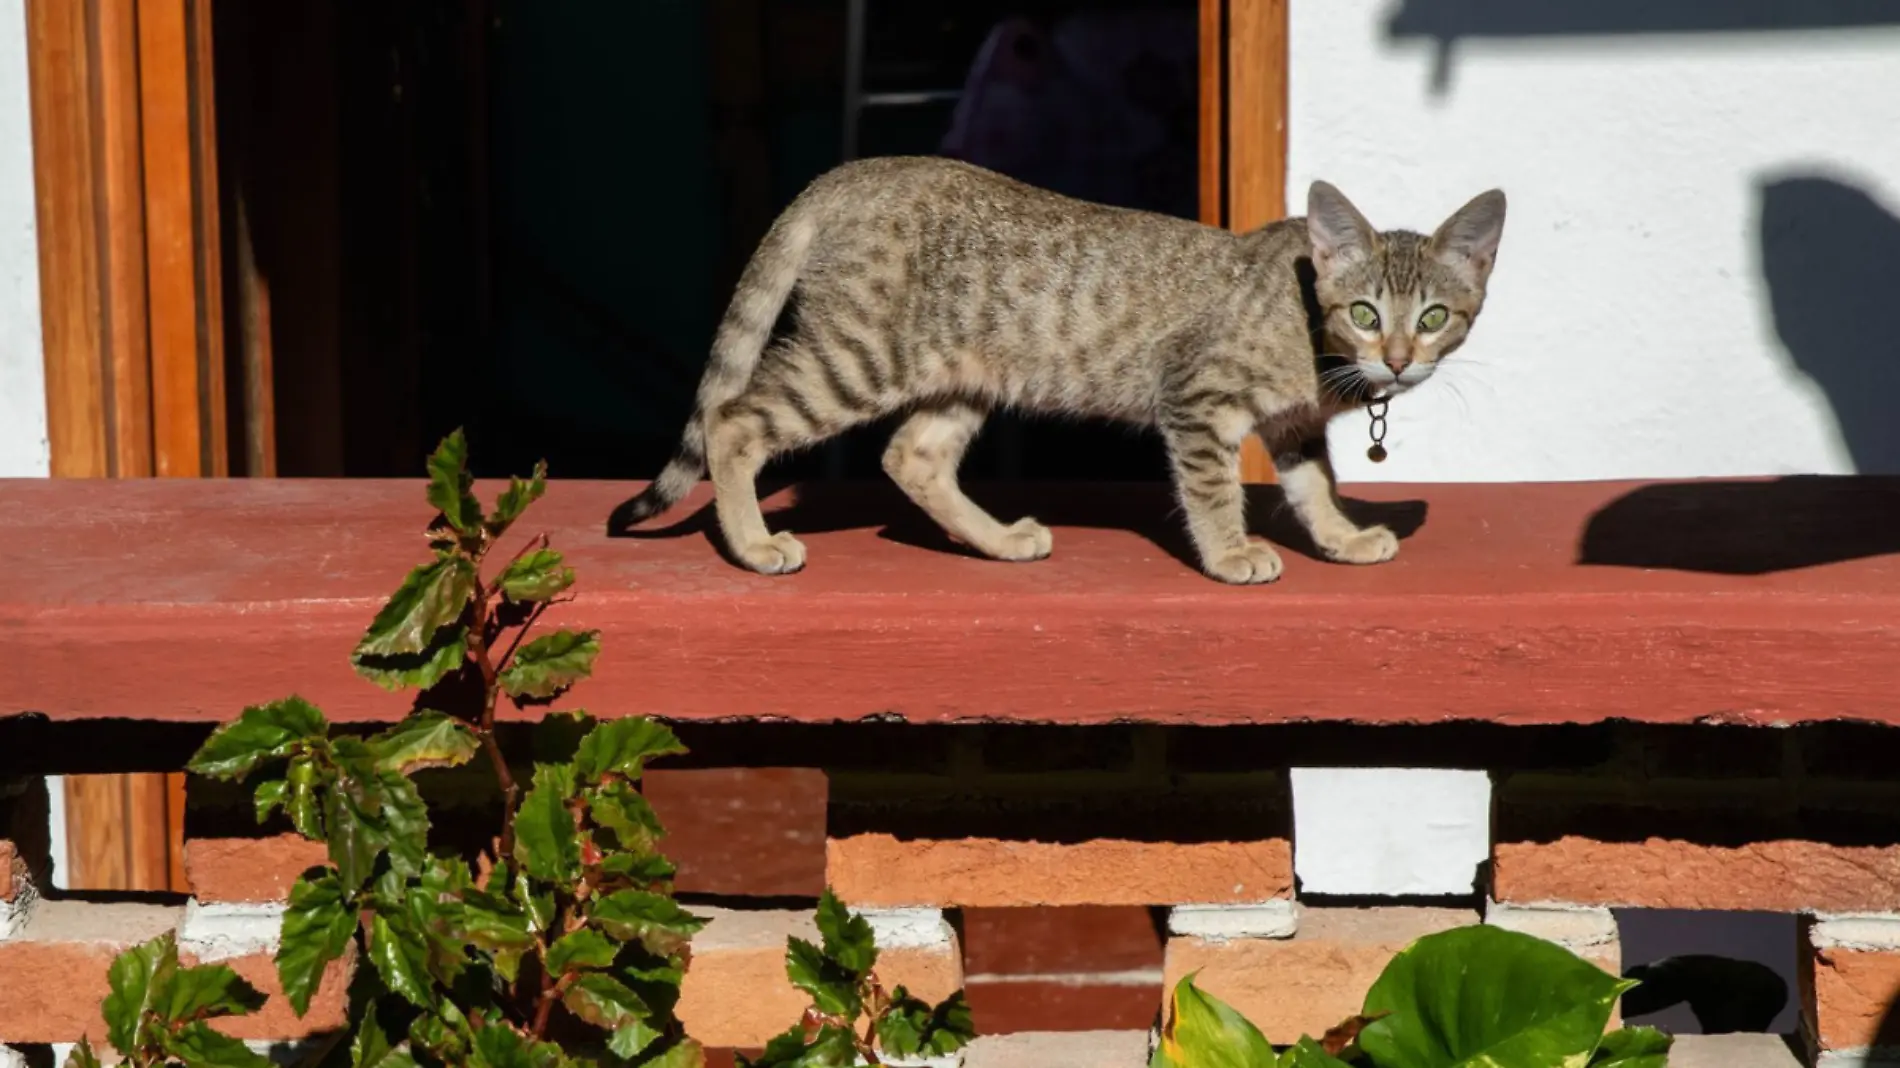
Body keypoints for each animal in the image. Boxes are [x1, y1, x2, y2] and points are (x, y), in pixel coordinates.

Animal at [615, 155, 1504, 581]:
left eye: (1434, 318)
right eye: (1364, 313)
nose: (1397, 360)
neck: (1309, 330)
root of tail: (852, 171)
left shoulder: (1291, 426)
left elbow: (1316, 487)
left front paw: (1343, 539)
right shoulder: (1196, 397)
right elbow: (1215, 491)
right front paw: (1230, 555)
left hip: (960, 374)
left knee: (912, 456)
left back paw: (999, 540)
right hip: (857, 357)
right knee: (731, 420)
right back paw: (753, 546)